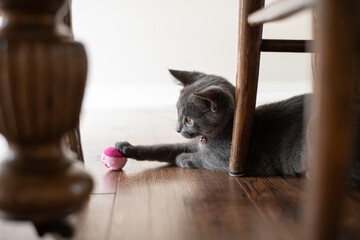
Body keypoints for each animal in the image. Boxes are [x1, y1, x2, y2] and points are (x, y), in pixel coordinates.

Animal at [115, 70, 360, 187]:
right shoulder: (193, 143)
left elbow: (202, 159)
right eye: (177, 112)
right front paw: (126, 147)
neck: (209, 139)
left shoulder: (229, 161)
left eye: (190, 120)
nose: (177, 129)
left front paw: (183, 159)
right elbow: (164, 147)